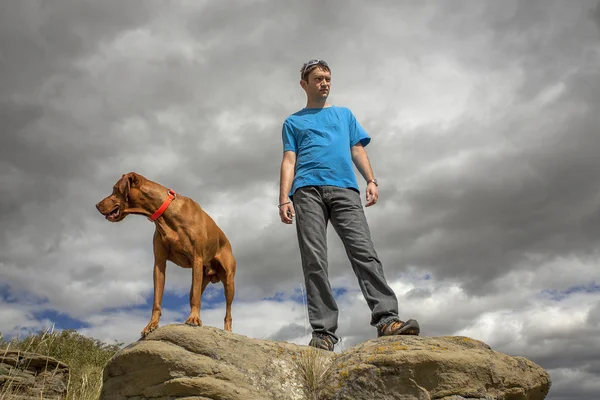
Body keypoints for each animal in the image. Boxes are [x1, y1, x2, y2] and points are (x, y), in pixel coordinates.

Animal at [95, 172, 236, 338]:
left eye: (115, 189)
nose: (96, 205)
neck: (165, 214)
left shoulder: (197, 258)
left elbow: (196, 298)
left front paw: (194, 319)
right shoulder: (159, 263)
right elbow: (157, 299)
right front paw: (151, 325)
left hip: (228, 281)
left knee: (227, 312)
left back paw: (228, 331)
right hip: (202, 277)